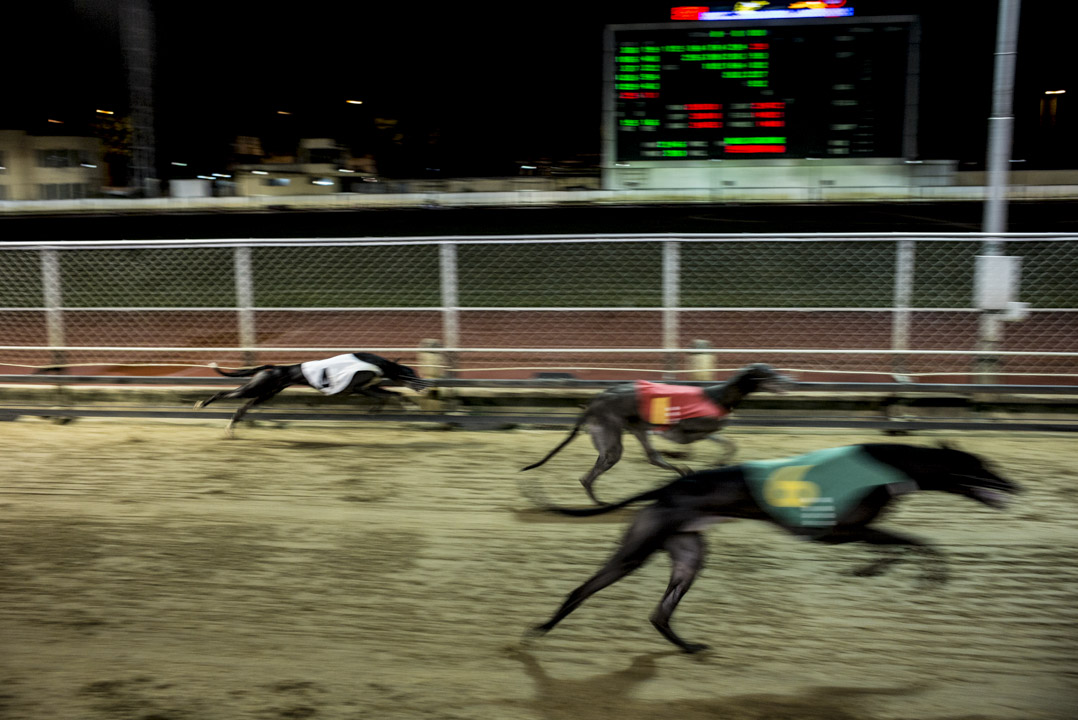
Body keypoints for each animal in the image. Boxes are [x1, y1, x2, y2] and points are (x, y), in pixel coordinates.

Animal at [194, 351, 429, 435]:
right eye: (412, 373)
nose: (426, 385)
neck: (378, 362)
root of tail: (273, 367)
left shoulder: (368, 387)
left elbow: (391, 394)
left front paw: (377, 409)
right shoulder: (359, 387)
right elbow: (391, 394)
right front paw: (409, 405)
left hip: (265, 394)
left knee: (242, 409)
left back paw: (231, 426)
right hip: (255, 388)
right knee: (223, 393)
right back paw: (201, 404)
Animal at [521, 366, 793, 500]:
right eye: (768, 373)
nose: (789, 381)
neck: (718, 395)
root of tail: (595, 401)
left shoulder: (704, 429)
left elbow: (728, 443)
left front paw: (717, 461)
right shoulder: (686, 431)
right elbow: (695, 442)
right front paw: (697, 463)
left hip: (632, 429)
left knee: (644, 458)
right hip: (614, 434)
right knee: (601, 468)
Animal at [528, 441, 1017, 655]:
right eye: (981, 466)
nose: (1016, 486)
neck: (892, 462)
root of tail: (668, 486)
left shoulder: (850, 532)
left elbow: (902, 544)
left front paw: (872, 569)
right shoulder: (837, 532)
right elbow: (917, 542)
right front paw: (926, 572)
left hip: (689, 552)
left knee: (659, 612)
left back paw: (687, 647)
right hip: (638, 550)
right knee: (582, 589)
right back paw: (541, 629)